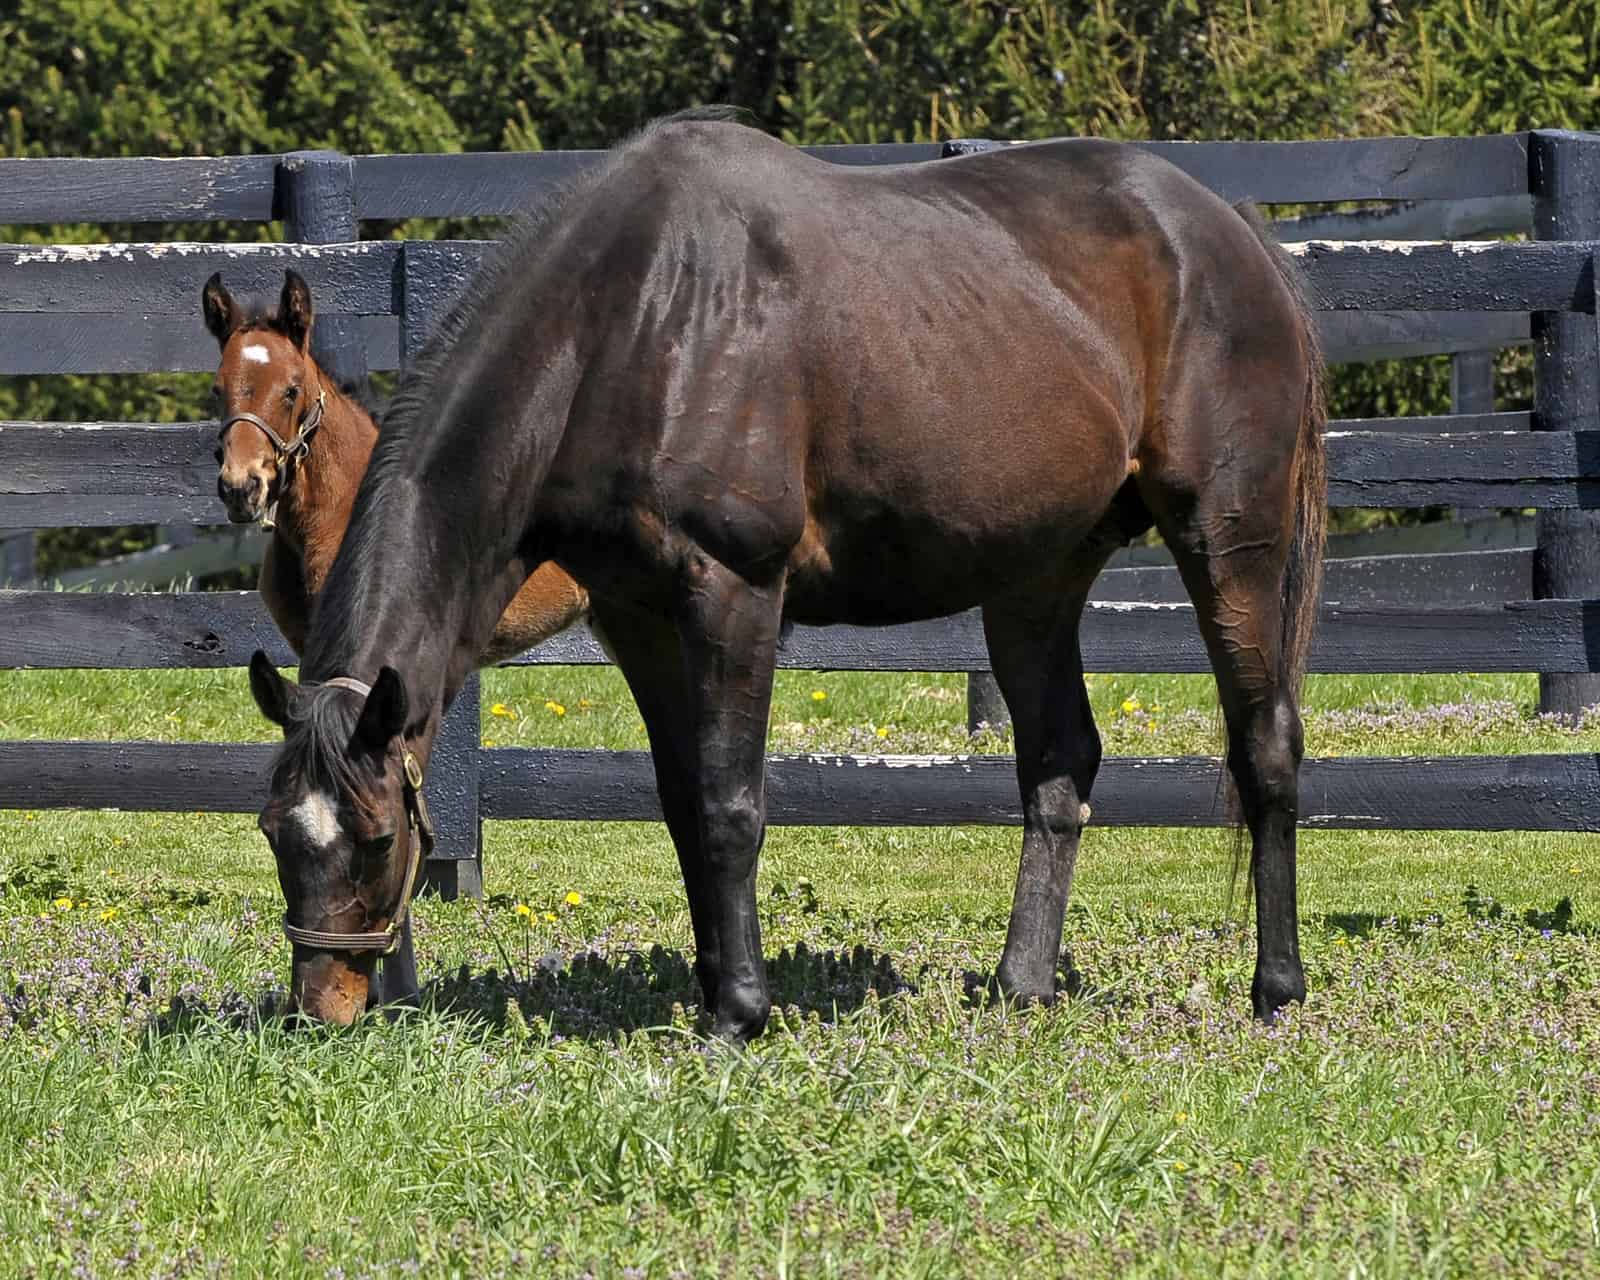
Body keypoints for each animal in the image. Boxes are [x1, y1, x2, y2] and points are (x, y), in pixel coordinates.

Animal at [247, 114, 1326, 1034]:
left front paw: (741, 1010)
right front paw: (709, 982)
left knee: (1264, 744)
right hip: (1039, 574)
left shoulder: (734, 592)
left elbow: (732, 804)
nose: (323, 1008)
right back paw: (1021, 986)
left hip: (1231, 540)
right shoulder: (639, 614)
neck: (634, 324)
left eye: (376, 837)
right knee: (1060, 763)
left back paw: (1275, 987)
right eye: (274, 833)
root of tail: (1223, 227)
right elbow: (683, 801)